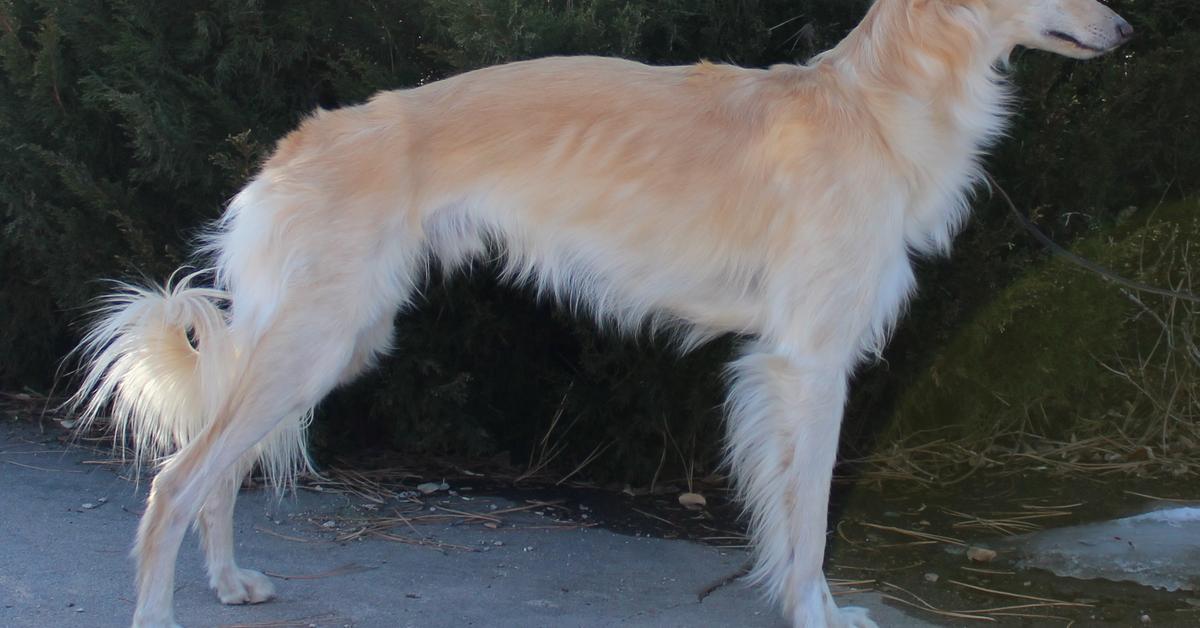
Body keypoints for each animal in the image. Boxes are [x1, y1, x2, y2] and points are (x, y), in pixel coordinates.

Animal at [72, 0, 1132, 624]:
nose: (1126, 32)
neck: (873, 105)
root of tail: (291, 149)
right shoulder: (809, 362)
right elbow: (810, 519)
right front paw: (818, 613)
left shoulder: (784, 367)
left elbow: (789, 519)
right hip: (311, 341)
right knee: (175, 481)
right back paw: (161, 611)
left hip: (322, 345)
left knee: (215, 476)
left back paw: (228, 584)